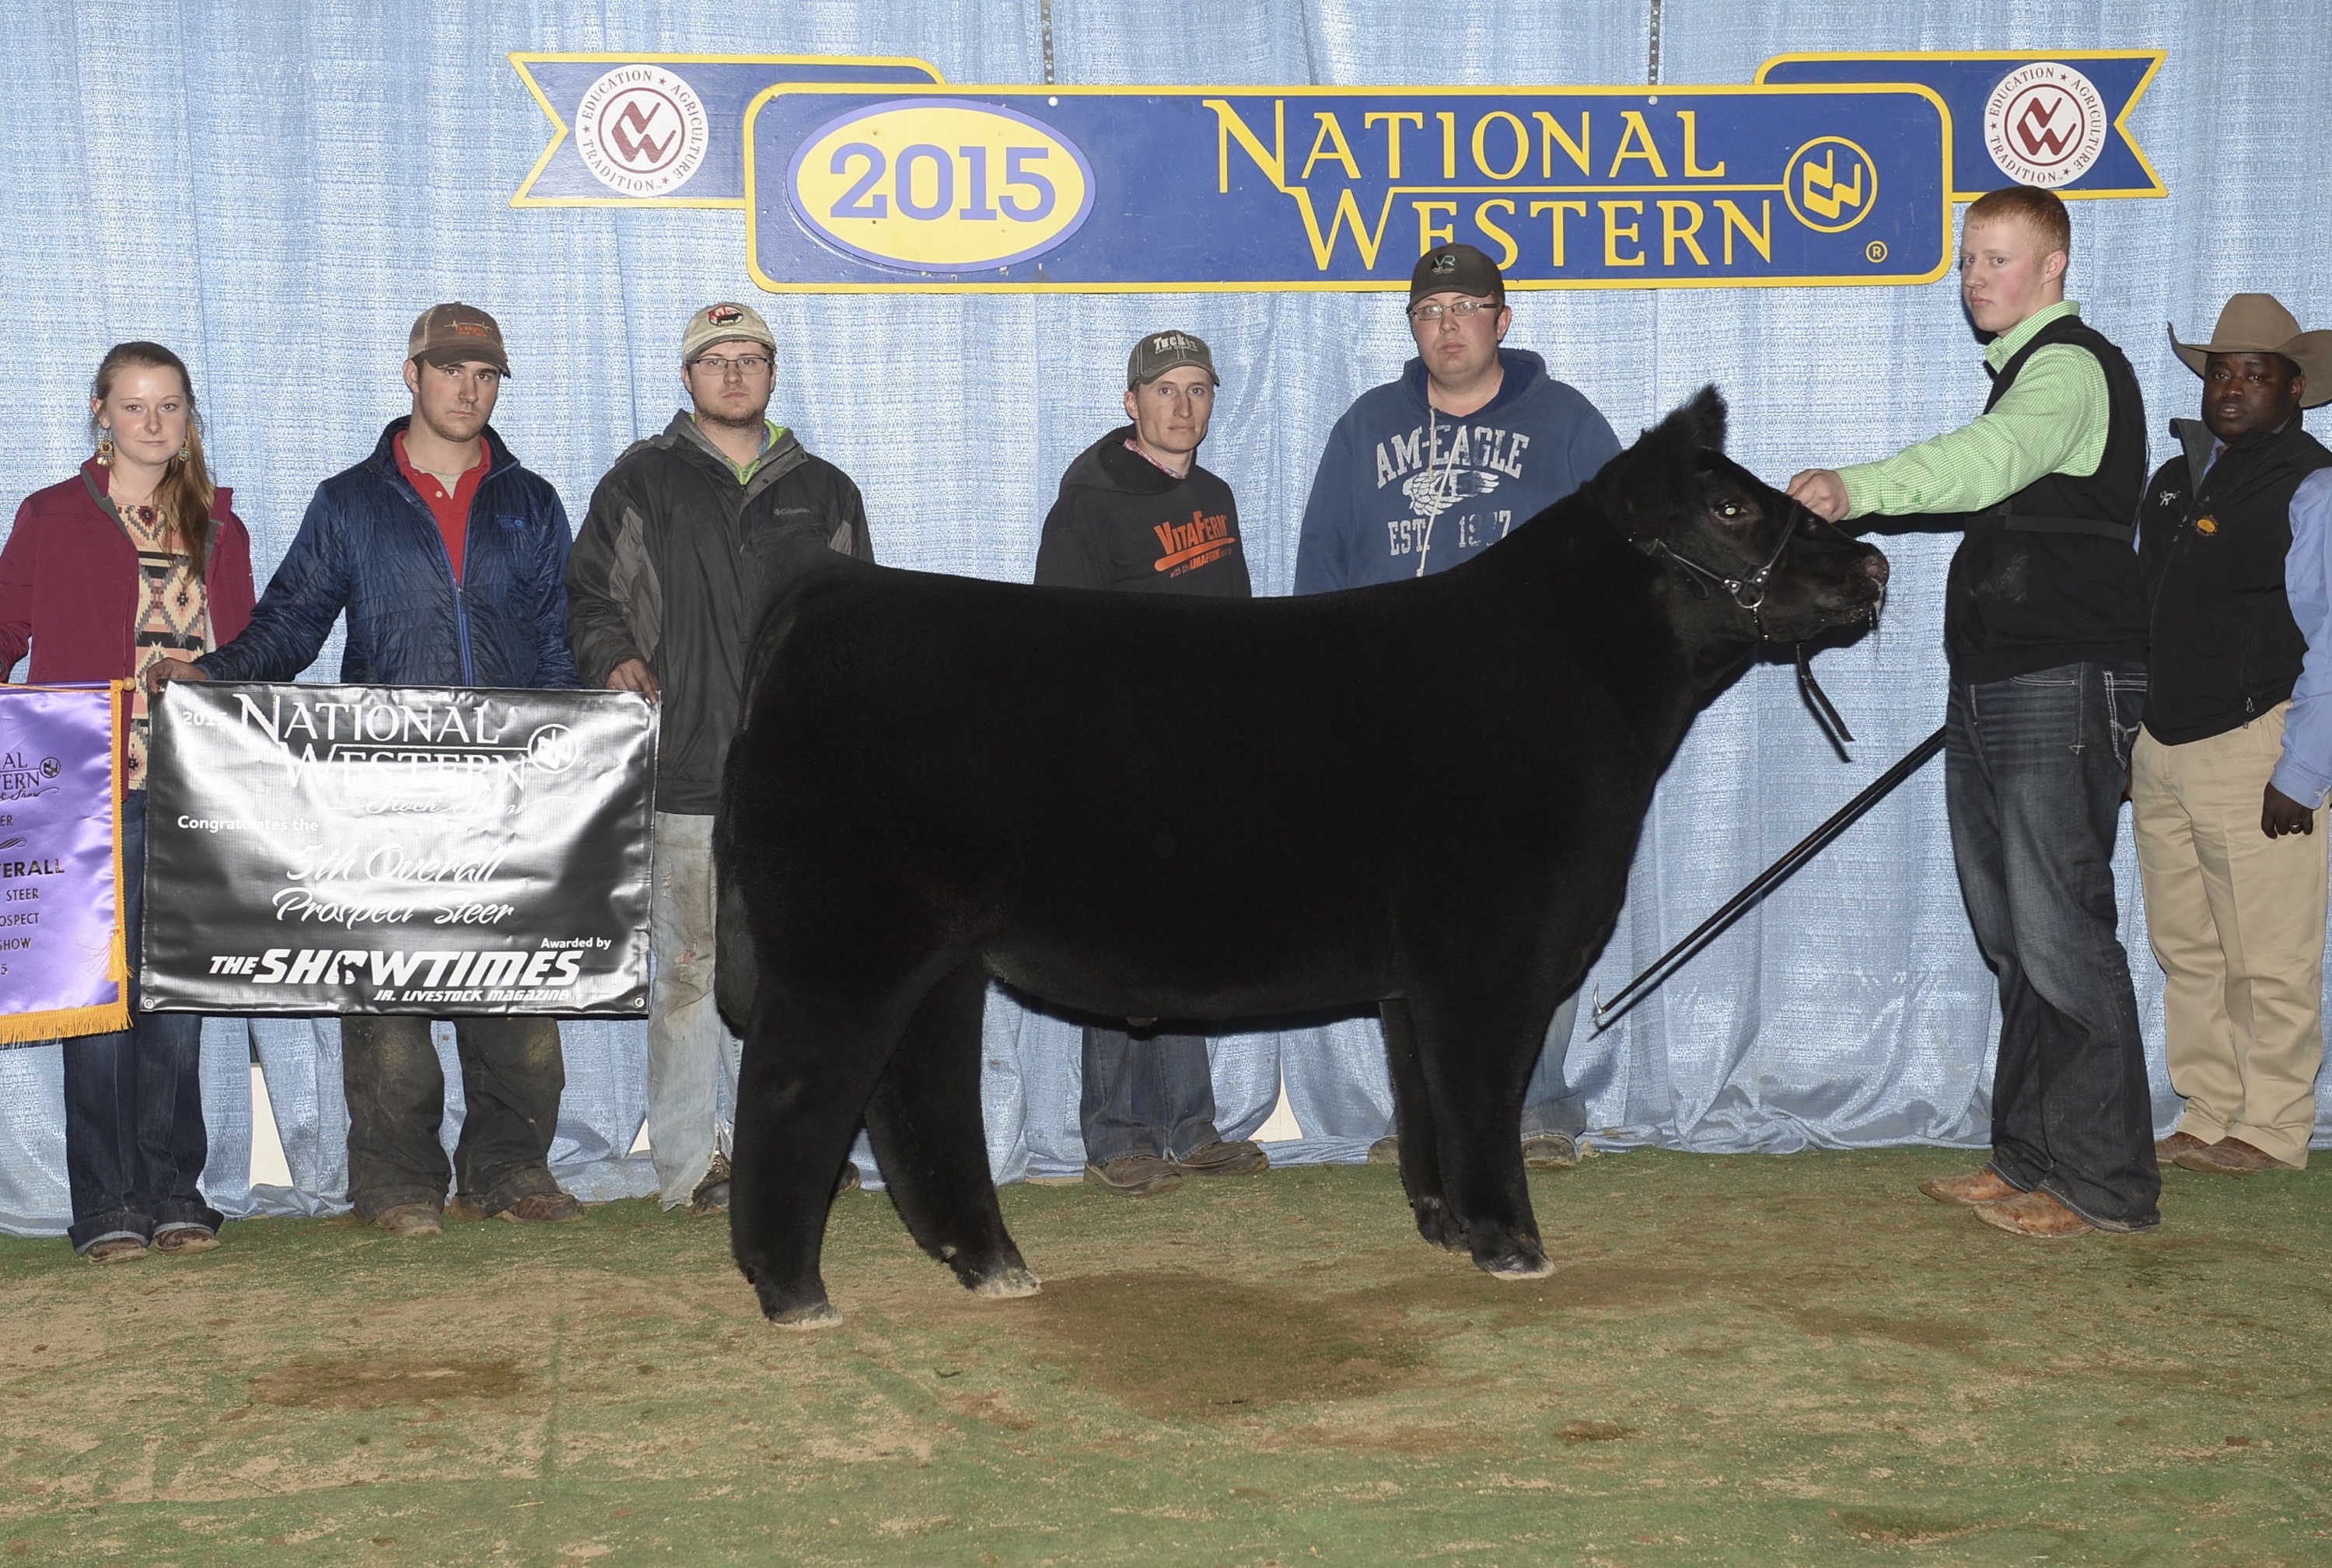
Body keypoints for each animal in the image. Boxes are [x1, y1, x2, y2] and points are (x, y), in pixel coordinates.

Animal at [715, 388, 1888, 1328]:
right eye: (1729, 510)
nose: (1871, 561)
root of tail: (831, 592)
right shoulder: (1490, 954)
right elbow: (1480, 1099)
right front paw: (1514, 1244)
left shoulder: (1417, 977)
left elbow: (1424, 1101)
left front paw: (1448, 1228)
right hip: (840, 944)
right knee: (791, 1090)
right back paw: (794, 1291)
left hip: (939, 955)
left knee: (916, 1095)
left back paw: (991, 1264)